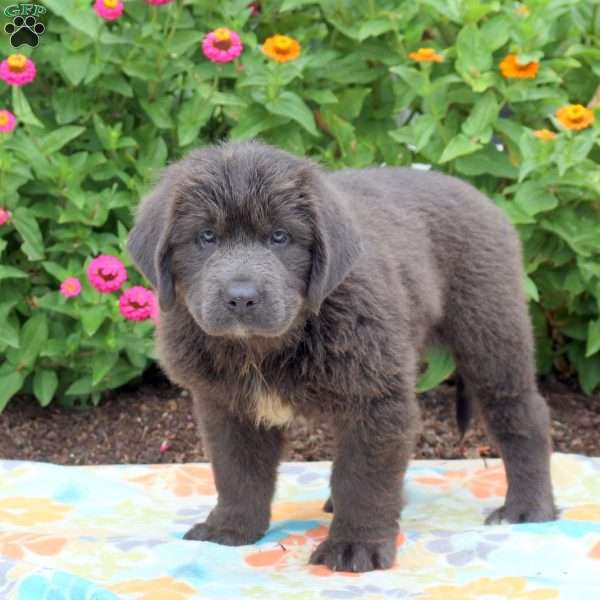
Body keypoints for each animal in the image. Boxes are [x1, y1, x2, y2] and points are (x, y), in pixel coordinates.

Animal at [129, 141, 556, 572]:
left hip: (490, 331)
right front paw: (231, 527)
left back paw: (527, 508)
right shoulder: (227, 406)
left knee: (521, 414)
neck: (263, 347)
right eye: (206, 236)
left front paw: (355, 545)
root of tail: (483, 199)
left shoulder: (375, 397)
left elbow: (362, 478)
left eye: (280, 237)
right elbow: (237, 472)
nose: (241, 297)